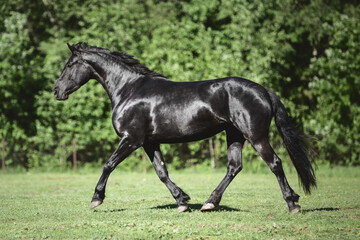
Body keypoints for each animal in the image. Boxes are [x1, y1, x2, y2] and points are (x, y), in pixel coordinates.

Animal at [53, 42, 316, 213]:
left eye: (70, 64)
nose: (56, 91)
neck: (128, 89)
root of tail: (263, 91)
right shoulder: (149, 142)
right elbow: (162, 172)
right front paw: (182, 202)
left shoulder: (131, 139)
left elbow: (108, 165)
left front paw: (96, 199)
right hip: (234, 135)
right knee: (234, 167)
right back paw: (209, 203)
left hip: (256, 136)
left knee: (275, 163)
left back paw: (292, 203)